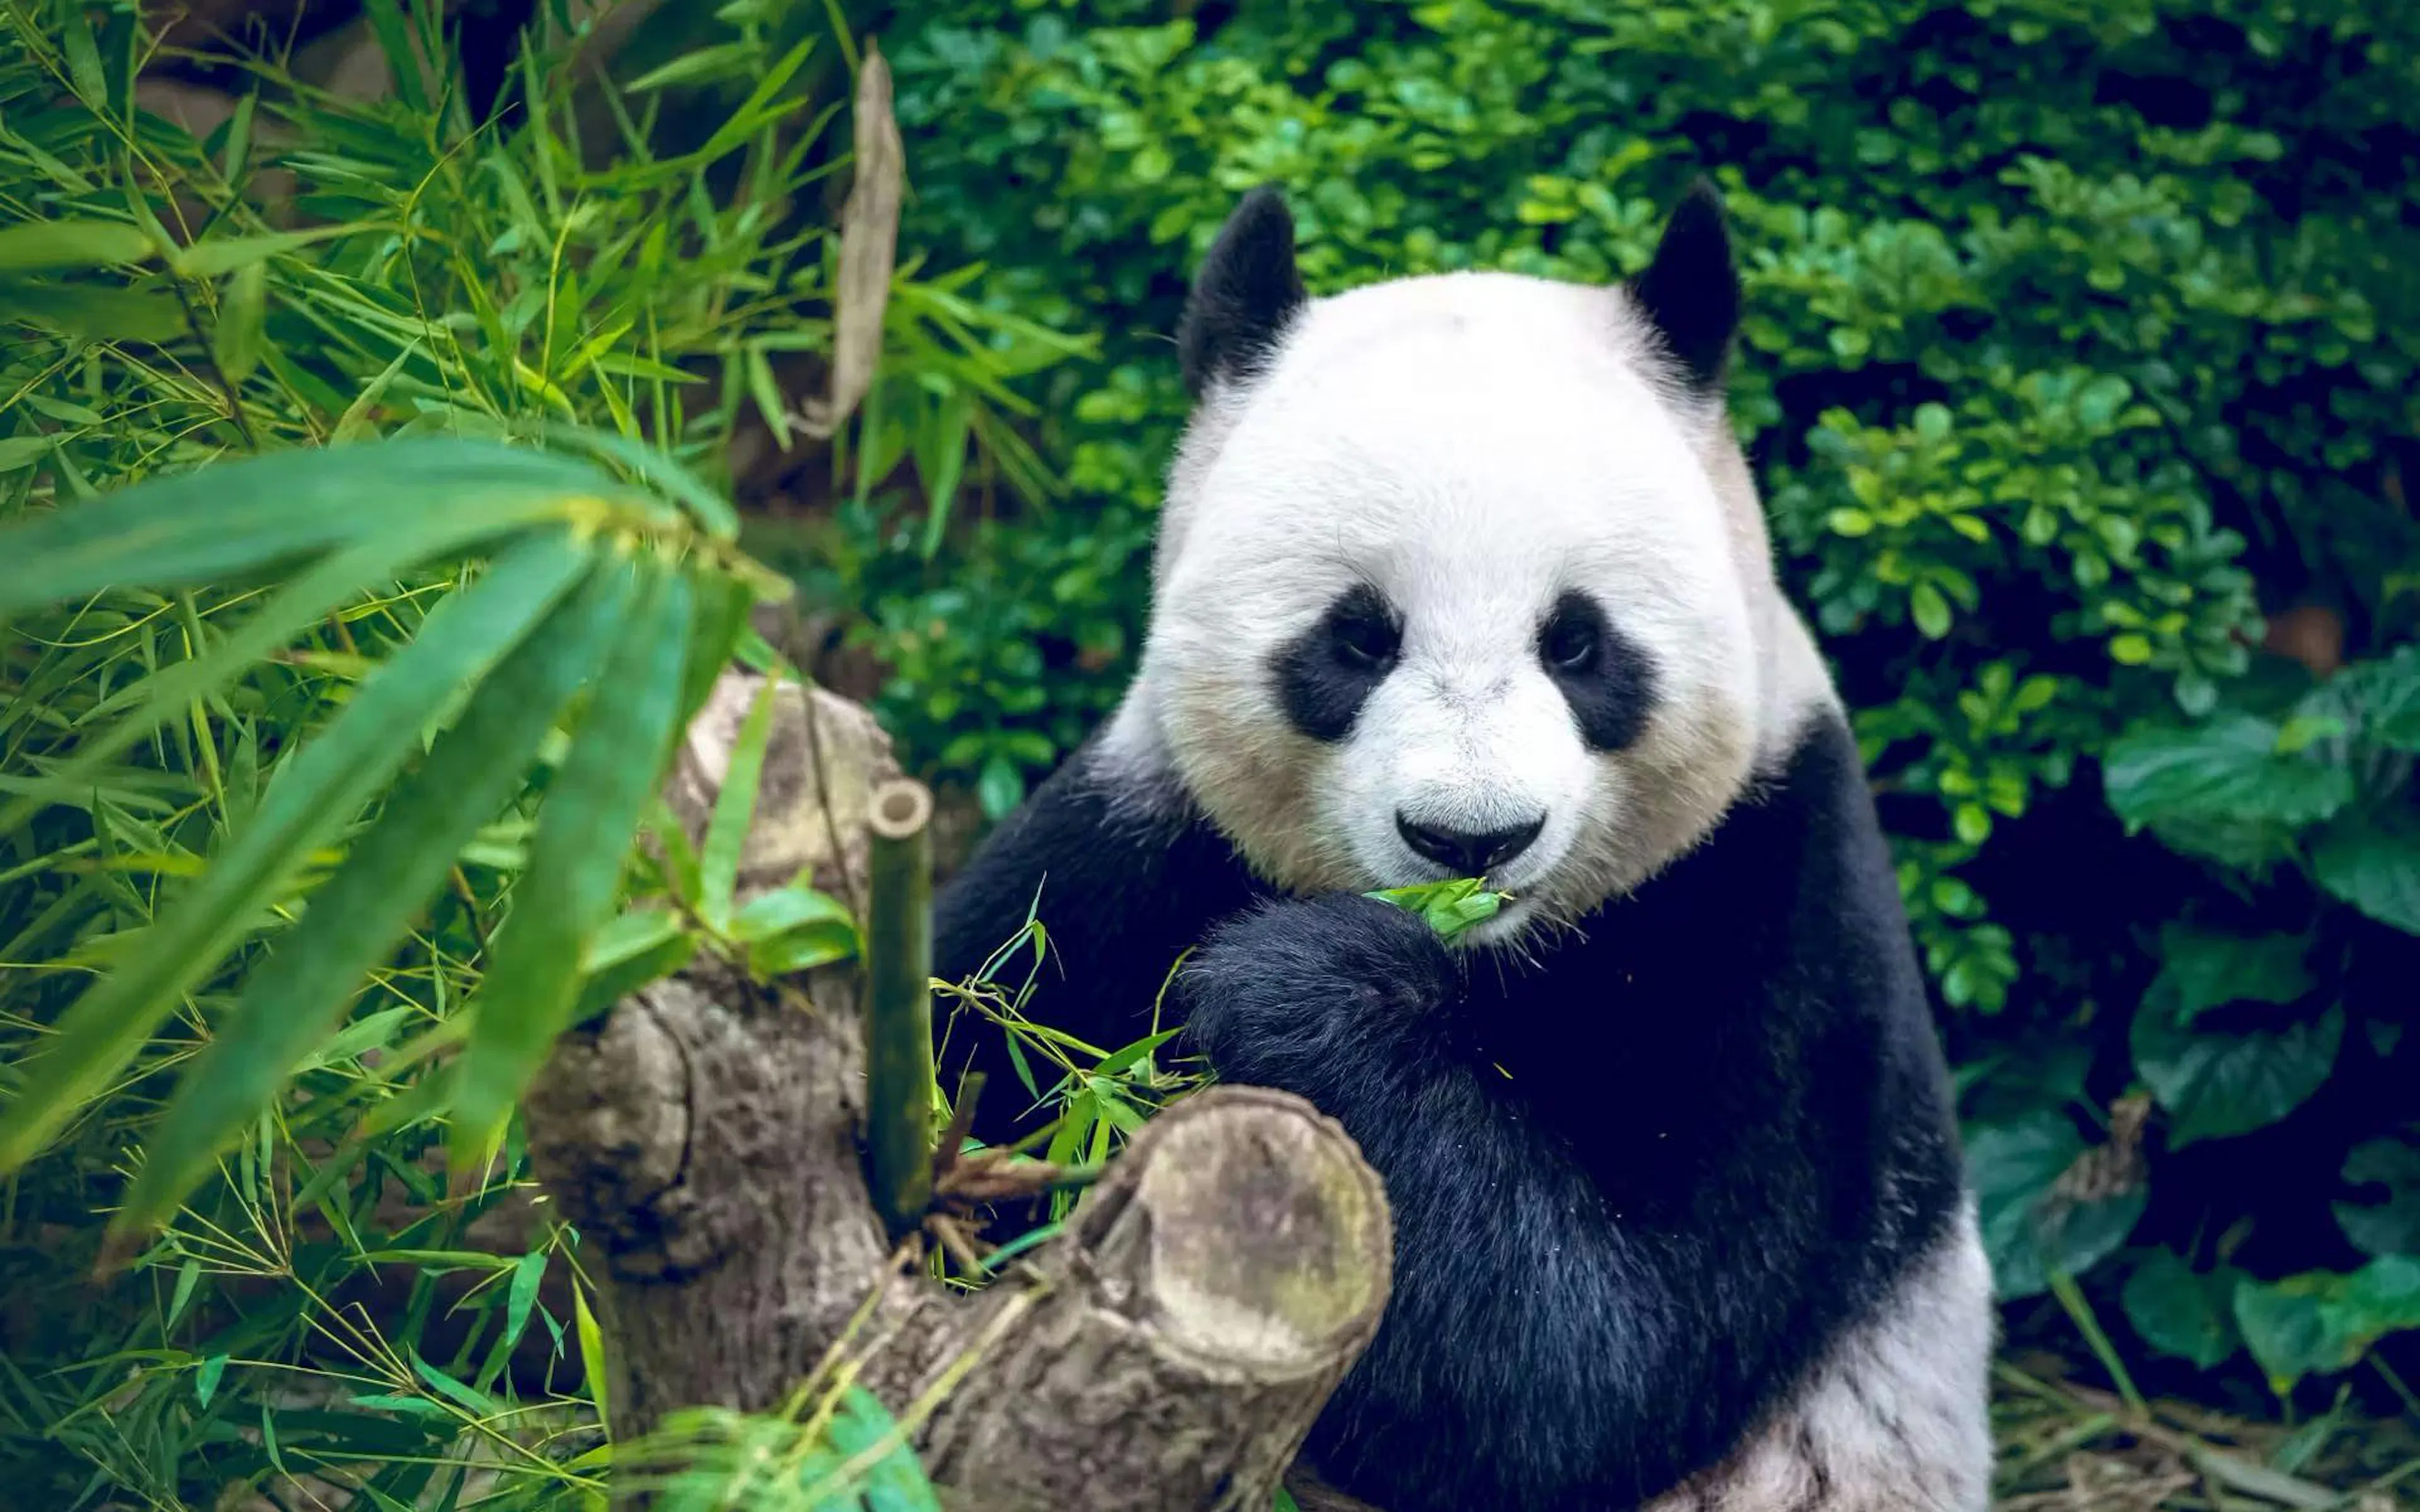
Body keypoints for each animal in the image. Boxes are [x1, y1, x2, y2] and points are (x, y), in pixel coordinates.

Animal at [931, 179, 1995, 1512]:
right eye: (1359, 637)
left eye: (1579, 642)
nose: (1472, 838)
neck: (1497, 959)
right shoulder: (1130, 848)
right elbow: (974, 1026)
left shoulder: (1774, 924)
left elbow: (1594, 1369)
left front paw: (1303, 987)